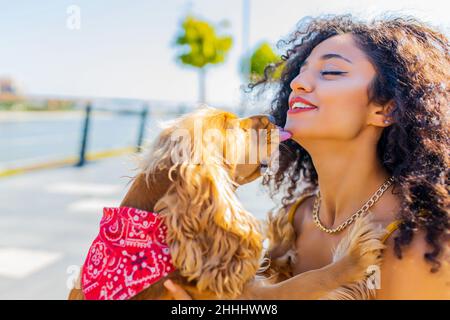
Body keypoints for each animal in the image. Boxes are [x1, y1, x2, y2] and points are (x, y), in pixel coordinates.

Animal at [68, 107, 384, 300]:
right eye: (234, 127)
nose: (271, 117)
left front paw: (283, 237)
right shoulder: (249, 295)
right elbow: (310, 280)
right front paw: (355, 256)